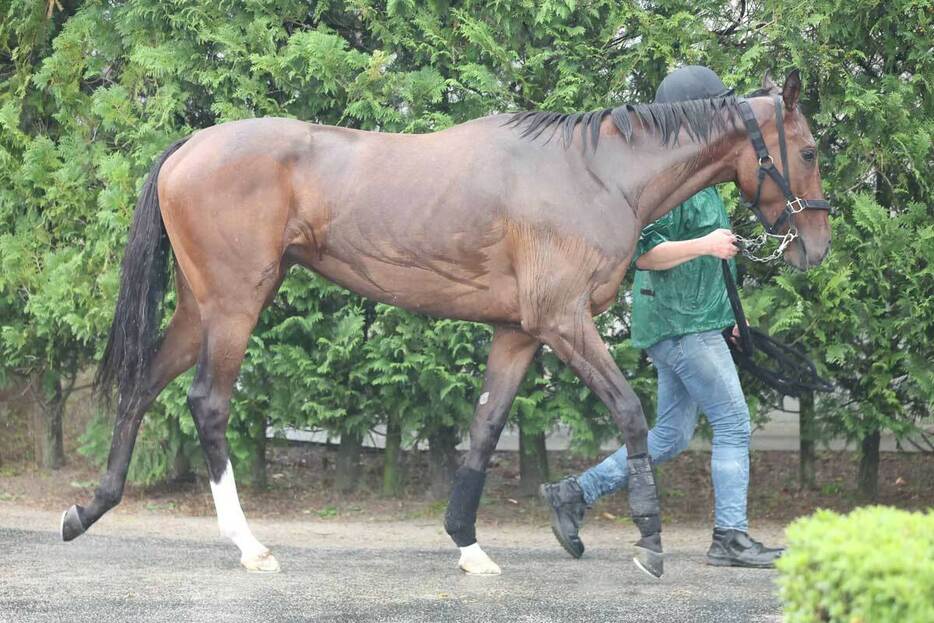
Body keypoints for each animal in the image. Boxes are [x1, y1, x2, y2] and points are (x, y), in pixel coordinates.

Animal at [62, 69, 828, 580]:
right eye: (811, 151)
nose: (814, 247)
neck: (594, 173)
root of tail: (190, 146)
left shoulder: (520, 331)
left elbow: (486, 428)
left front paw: (470, 544)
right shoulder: (564, 321)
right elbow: (631, 413)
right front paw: (649, 542)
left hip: (201, 307)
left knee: (141, 386)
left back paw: (88, 510)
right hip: (234, 305)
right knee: (208, 403)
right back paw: (249, 545)